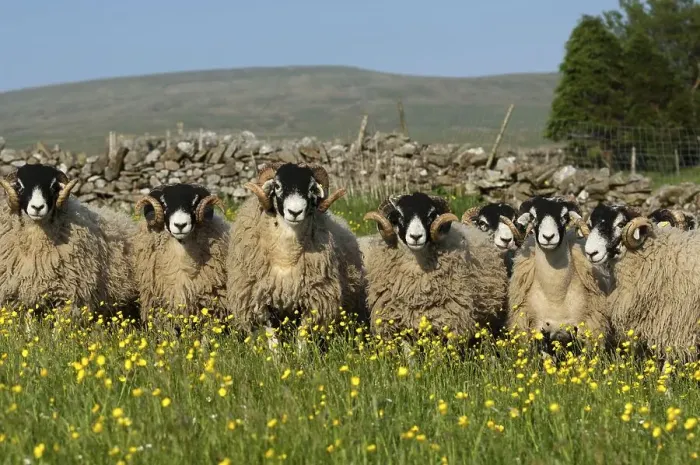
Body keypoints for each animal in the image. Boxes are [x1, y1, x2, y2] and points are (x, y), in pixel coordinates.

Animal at [0, 164, 136, 318]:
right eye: (20, 186)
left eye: (53, 186)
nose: (37, 207)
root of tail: (125, 219)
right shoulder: (19, 296)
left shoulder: (68, 297)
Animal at [225, 162, 368, 339]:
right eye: (277, 186)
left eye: (312, 188)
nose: (295, 212)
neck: (287, 256)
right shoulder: (261, 298)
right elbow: (272, 336)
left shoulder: (312, 299)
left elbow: (302, 335)